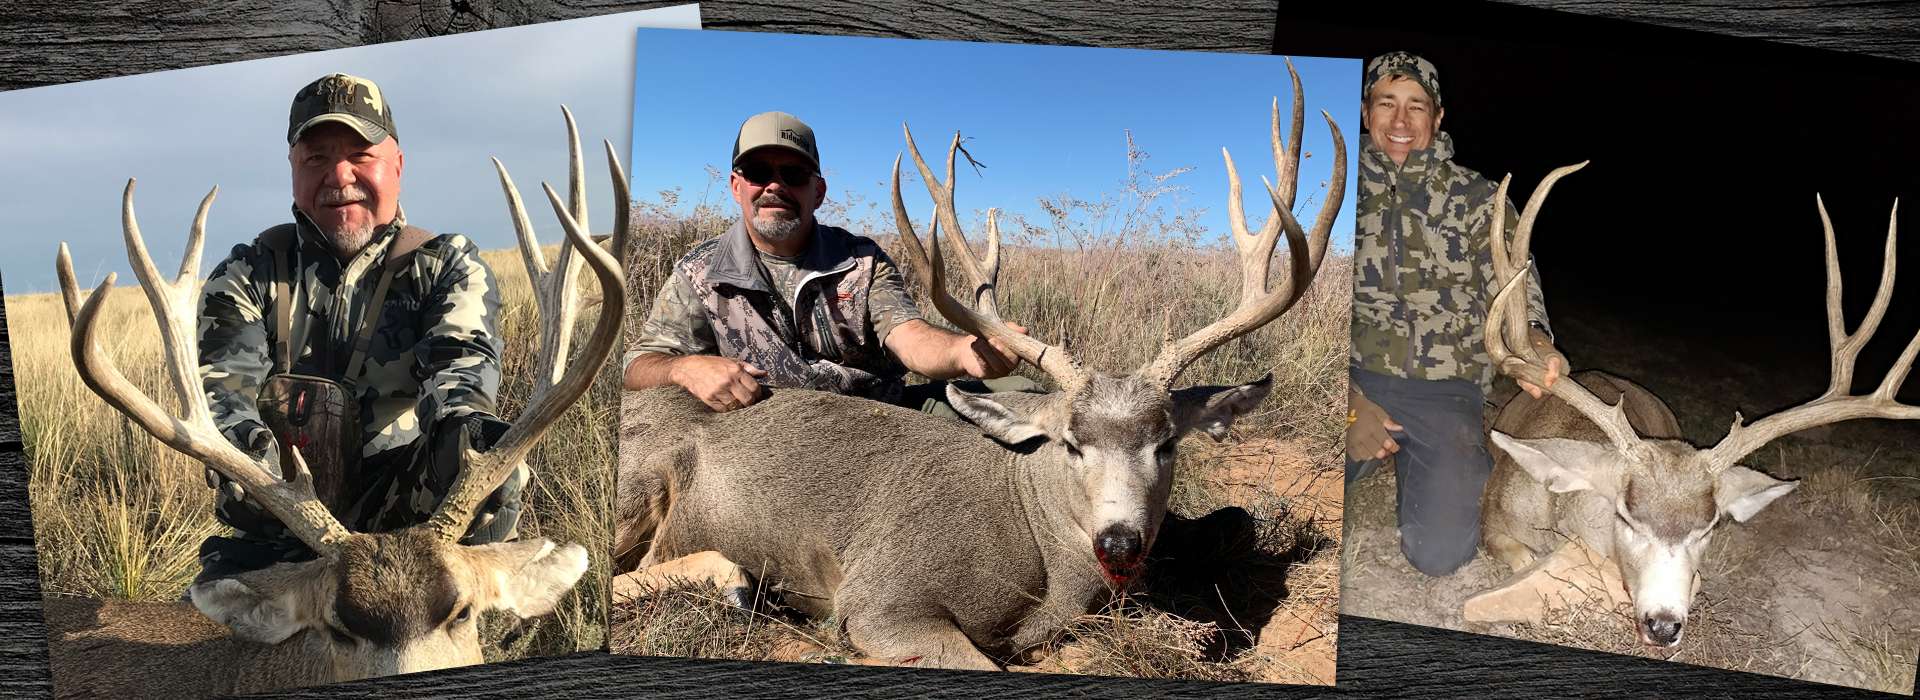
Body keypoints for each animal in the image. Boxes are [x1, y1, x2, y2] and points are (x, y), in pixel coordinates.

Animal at [611, 60, 1345, 671]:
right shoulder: (882, 596)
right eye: (1071, 444)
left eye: (1166, 444)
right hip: (641, 480)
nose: (1119, 542)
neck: (1038, 554)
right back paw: (738, 584)